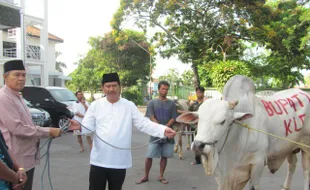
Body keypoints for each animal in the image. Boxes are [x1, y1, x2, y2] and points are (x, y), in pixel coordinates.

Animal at [178, 75, 310, 190]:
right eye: (199, 118)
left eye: (223, 121)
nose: (198, 145)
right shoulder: (221, 174)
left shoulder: (258, 163)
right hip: (290, 147)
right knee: (292, 165)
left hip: (306, 147)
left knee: (306, 170)